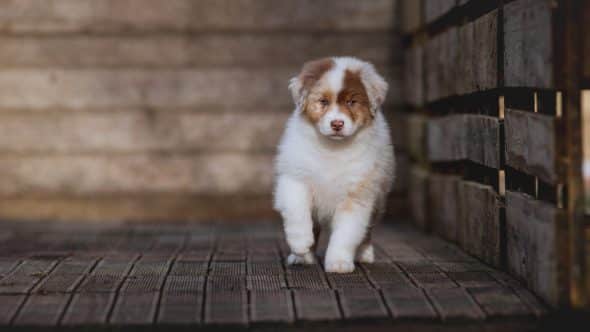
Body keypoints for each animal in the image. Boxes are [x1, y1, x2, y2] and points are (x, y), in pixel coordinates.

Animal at [274, 57, 396, 274]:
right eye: (323, 101)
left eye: (351, 102)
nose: (337, 124)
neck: (332, 149)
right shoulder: (295, 178)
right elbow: (297, 211)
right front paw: (300, 244)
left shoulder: (356, 195)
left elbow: (346, 232)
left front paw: (339, 263)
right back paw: (302, 257)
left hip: (379, 198)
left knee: (367, 231)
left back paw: (365, 253)